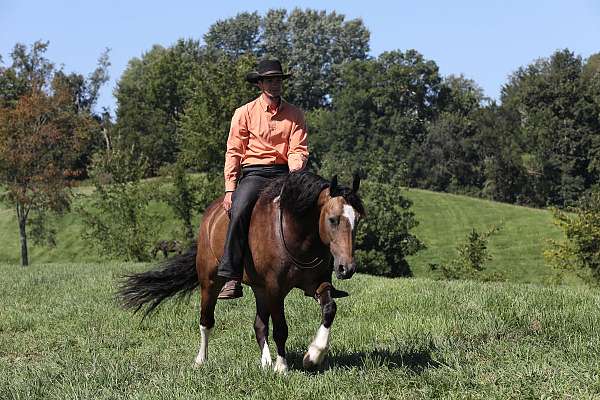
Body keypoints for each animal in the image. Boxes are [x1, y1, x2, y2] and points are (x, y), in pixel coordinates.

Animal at [119, 171, 364, 372]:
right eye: (333, 219)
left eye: (358, 220)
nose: (347, 268)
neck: (296, 233)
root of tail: (210, 216)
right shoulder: (275, 289)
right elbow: (281, 328)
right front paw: (282, 367)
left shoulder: (315, 284)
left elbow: (329, 309)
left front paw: (313, 356)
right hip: (210, 282)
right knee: (206, 321)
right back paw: (201, 360)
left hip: (259, 289)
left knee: (259, 325)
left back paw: (265, 362)